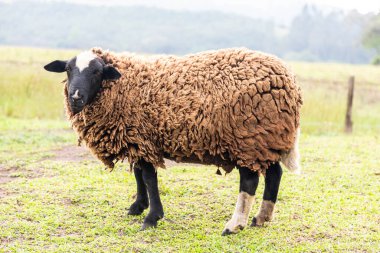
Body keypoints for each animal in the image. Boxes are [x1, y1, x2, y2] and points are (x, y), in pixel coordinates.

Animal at [43, 47, 302, 235]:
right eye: (68, 69)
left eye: (97, 72)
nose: (75, 97)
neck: (123, 86)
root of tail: (289, 83)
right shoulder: (137, 140)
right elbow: (139, 175)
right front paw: (138, 206)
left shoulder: (143, 138)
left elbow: (149, 177)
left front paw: (152, 217)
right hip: (266, 138)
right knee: (274, 174)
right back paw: (262, 218)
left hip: (248, 138)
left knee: (249, 181)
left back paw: (234, 224)